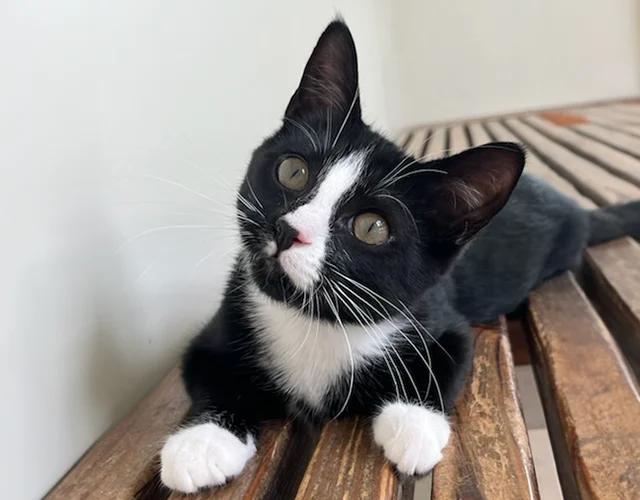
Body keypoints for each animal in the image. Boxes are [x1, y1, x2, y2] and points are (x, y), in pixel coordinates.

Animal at [159, 18, 640, 492]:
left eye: (372, 228)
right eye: (293, 171)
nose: (287, 230)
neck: (314, 320)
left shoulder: (440, 318)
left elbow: (450, 359)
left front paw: (414, 427)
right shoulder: (224, 321)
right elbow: (210, 372)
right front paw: (202, 443)